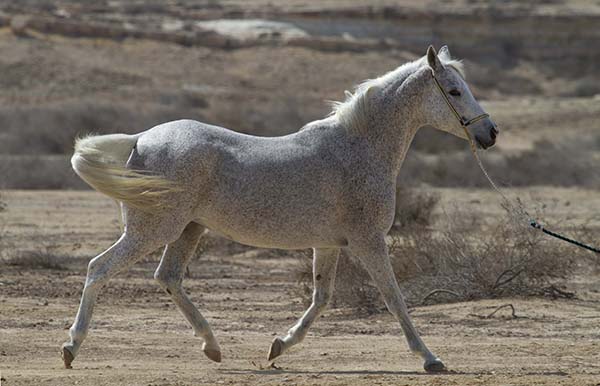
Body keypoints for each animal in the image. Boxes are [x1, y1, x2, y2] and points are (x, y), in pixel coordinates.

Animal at [63, 46, 500, 374]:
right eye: (454, 91)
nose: (490, 133)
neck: (358, 148)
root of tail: (142, 138)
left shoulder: (329, 245)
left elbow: (321, 299)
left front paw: (278, 346)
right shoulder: (369, 241)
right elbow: (394, 298)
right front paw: (430, 358)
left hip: (188, 229)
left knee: (167, 277)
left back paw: (212, 347)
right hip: (153, 230)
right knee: (99, 268)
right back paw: (71, 347)